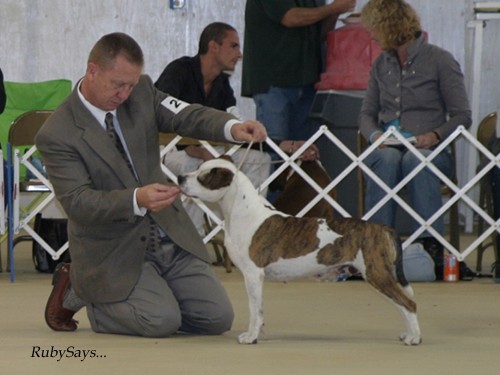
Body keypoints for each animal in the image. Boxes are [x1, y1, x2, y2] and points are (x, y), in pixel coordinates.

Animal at [178, 157, 420, 346]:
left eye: (203, 177)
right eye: (197, 168)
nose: (180, 177)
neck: (242, 212)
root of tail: (382, 227)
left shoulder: (253, 274)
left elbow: (254, 309)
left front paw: (251, 337)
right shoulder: (256, 278)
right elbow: (260, 309)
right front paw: (259, 333)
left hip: (376, 273)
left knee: (408, 304)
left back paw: (414, 338)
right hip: (381, 274)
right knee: (402, 304)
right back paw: (407, 334)